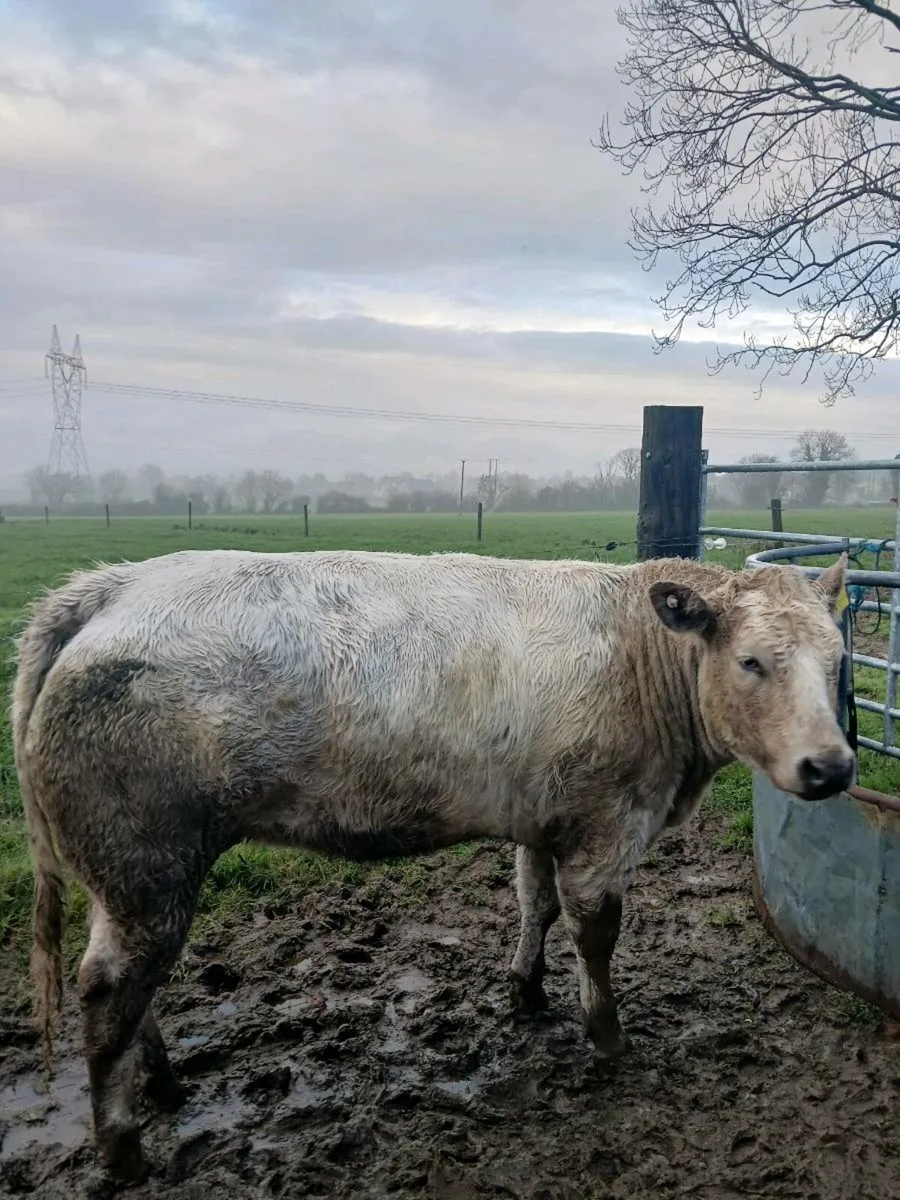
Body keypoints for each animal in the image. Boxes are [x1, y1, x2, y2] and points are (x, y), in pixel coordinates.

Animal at [11, 547, 853, 1180]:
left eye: (838, 659)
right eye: (751, 661)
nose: (833, 767)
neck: (640, 653)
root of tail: (111, 586)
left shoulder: (542, 817)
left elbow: (534, 902)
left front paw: (525, 991)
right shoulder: (608, 823)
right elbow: (596, 933)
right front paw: (607, 1033)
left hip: (126, 877)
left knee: (129, 984)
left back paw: (160, 1080)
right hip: (146, 862)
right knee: (109, 987)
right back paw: (123, 1148)